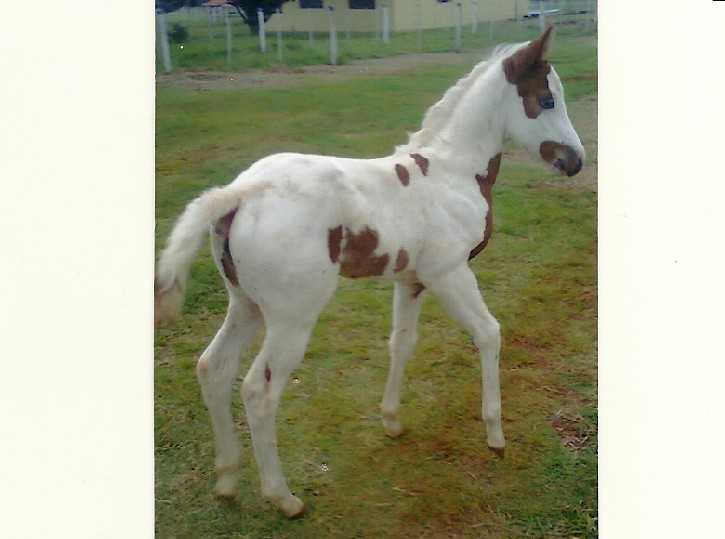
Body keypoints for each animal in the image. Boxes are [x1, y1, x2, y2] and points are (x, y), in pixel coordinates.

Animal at [155, 26, 584, 518]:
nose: (576, 161)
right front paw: (495, 434)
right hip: (291, 317)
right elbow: (489, 333)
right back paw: (284, 498)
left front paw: (392, 420)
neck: (450, 172)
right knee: (258, 392)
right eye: (546, 100)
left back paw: (227, 479)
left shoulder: (412, 281)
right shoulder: (450, 273)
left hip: (245, 305)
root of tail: (243, 191)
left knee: (213, 368)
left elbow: (401, 344)